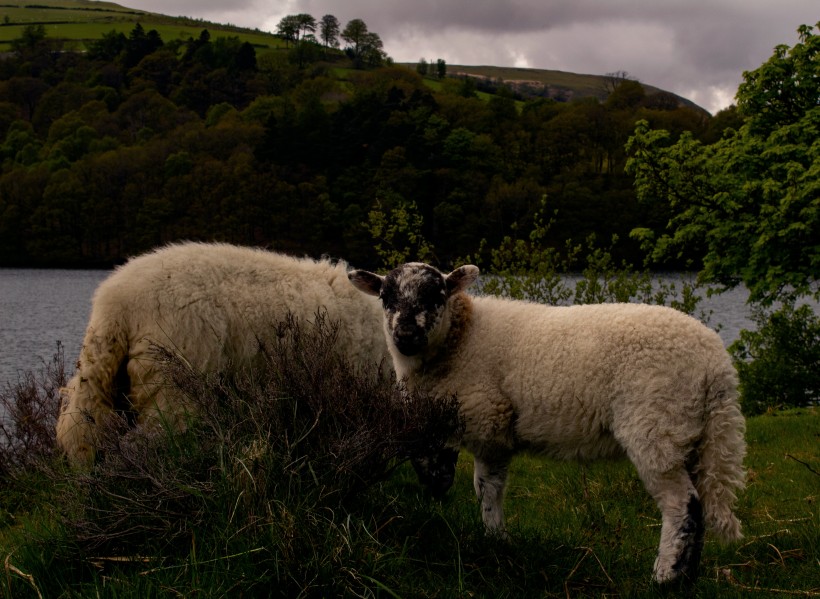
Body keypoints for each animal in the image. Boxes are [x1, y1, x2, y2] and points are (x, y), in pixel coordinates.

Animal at [350, 262, 748, 584]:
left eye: (437, 295)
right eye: (385, 296)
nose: (405, 335)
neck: (459, 338)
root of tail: (717, 364)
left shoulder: (488, 419)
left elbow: (486, 488)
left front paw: (494, 537)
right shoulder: (459, 424)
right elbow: (452, 472)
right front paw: (489, 536)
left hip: (655, 424)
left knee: (682, 504)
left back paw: (665, 578)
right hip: (691, 433)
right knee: (700, 503)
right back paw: (687, 575)